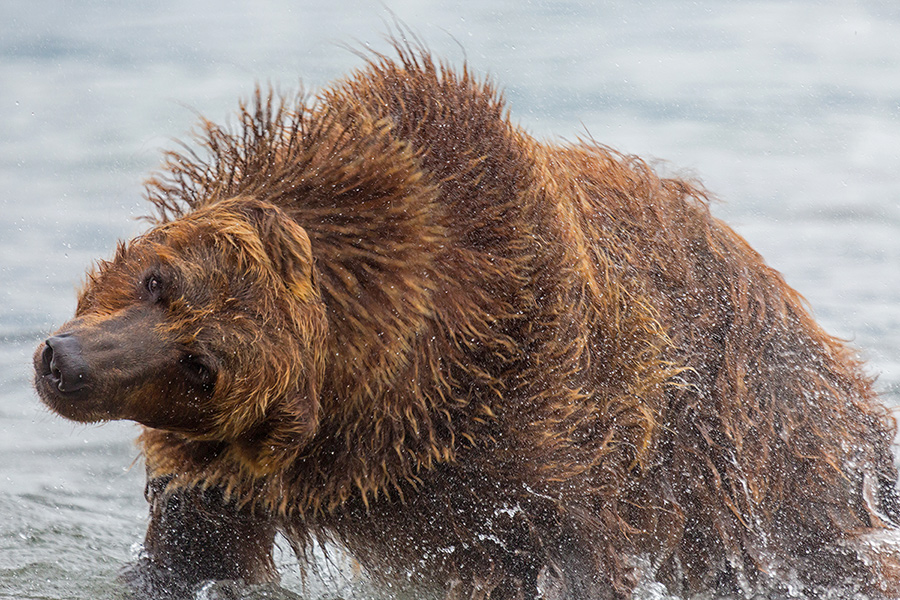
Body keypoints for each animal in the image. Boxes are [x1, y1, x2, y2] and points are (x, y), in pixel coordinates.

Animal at [31, 43, 900, 600]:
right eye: (157, 279)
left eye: (201, 366)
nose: (64, 364)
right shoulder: (240, 474)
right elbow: (193, 553)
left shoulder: (527, 454)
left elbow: (573, 556)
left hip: (753, 455)